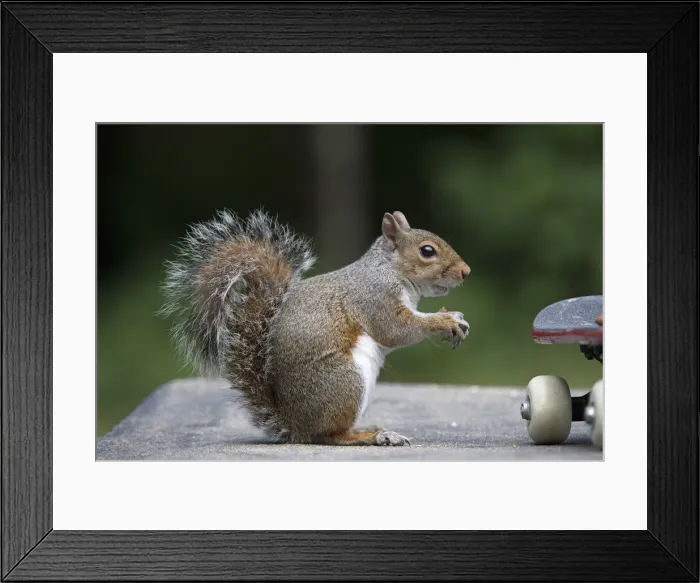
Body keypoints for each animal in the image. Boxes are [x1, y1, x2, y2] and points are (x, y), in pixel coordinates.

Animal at [160, 209, 471, 446]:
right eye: (427, 251)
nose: (466, 272)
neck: (388, 270)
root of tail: (296, 427)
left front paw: (454, 316)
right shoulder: (375, 298)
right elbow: (396, 330)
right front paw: (445, 321)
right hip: (345, 381)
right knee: (330, 436)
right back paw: (373, 436)